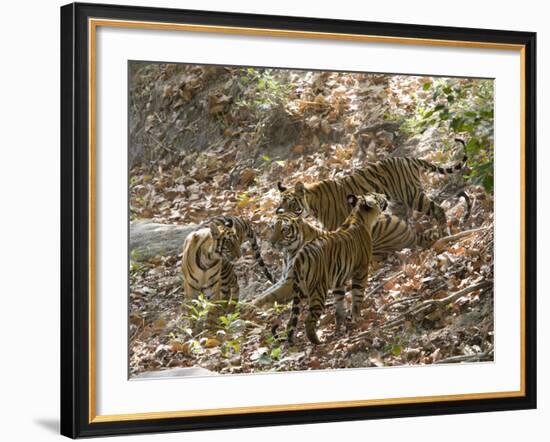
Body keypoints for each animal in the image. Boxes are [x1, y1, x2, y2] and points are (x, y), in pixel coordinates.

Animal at [272, 192, 386, 344]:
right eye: (376, 196)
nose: (384, 195)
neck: (358, 215)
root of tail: (300, 256)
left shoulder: (338, 281)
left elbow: (339, 304)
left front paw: (341, 325)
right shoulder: (361, 271)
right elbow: (357, 296)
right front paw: (357, 318)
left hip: (300, 290)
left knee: (291, 321)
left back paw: (291, 341)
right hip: (318, 290)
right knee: (309, 319)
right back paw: (317, 341)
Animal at [278, 139, 468, 230]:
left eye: (292, 205)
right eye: (281, 205)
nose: (283, 216)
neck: (312, 205)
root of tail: (407, 158)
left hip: (412, 195)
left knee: (438, 209)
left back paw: (443, 231)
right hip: (398, 202)